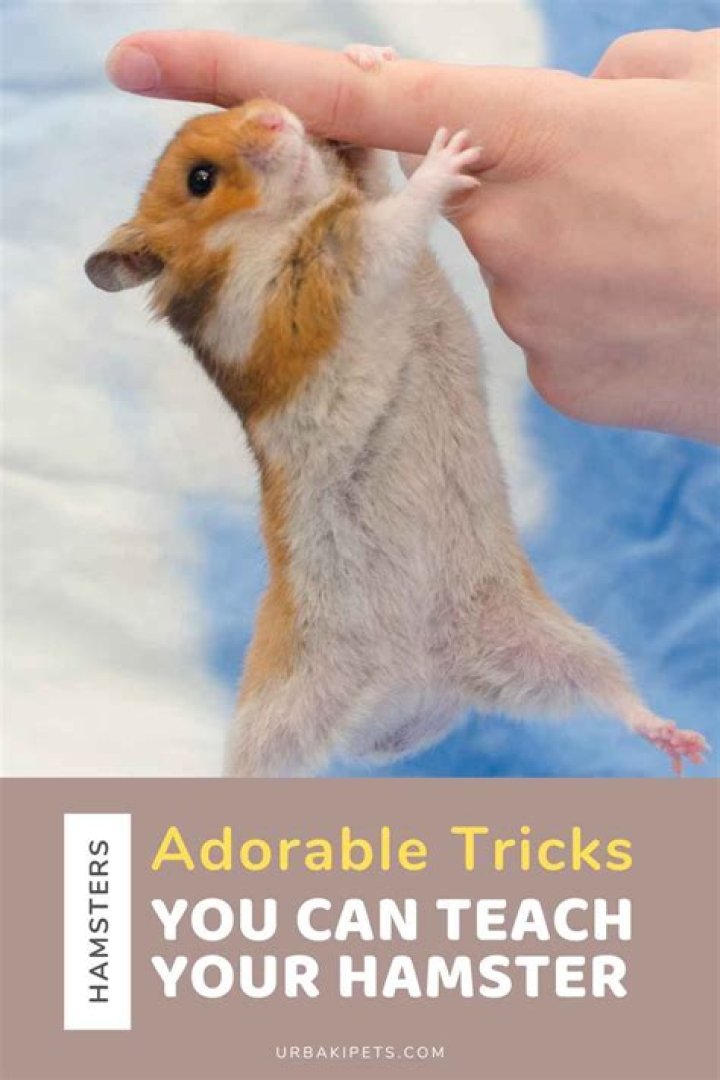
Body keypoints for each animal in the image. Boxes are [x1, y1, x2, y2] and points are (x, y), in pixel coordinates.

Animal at [86, 53, 708, 778]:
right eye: (200, 179)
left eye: (243, 107)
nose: (275, 117)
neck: (286, 217)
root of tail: (407, 701)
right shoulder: (332, 270)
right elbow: (397, 216)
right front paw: (448, 152)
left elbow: (377, 173)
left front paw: (368, 60)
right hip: (278, 706)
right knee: (252, 763)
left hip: (544, 642)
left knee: (611, 694)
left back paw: (681, 740)